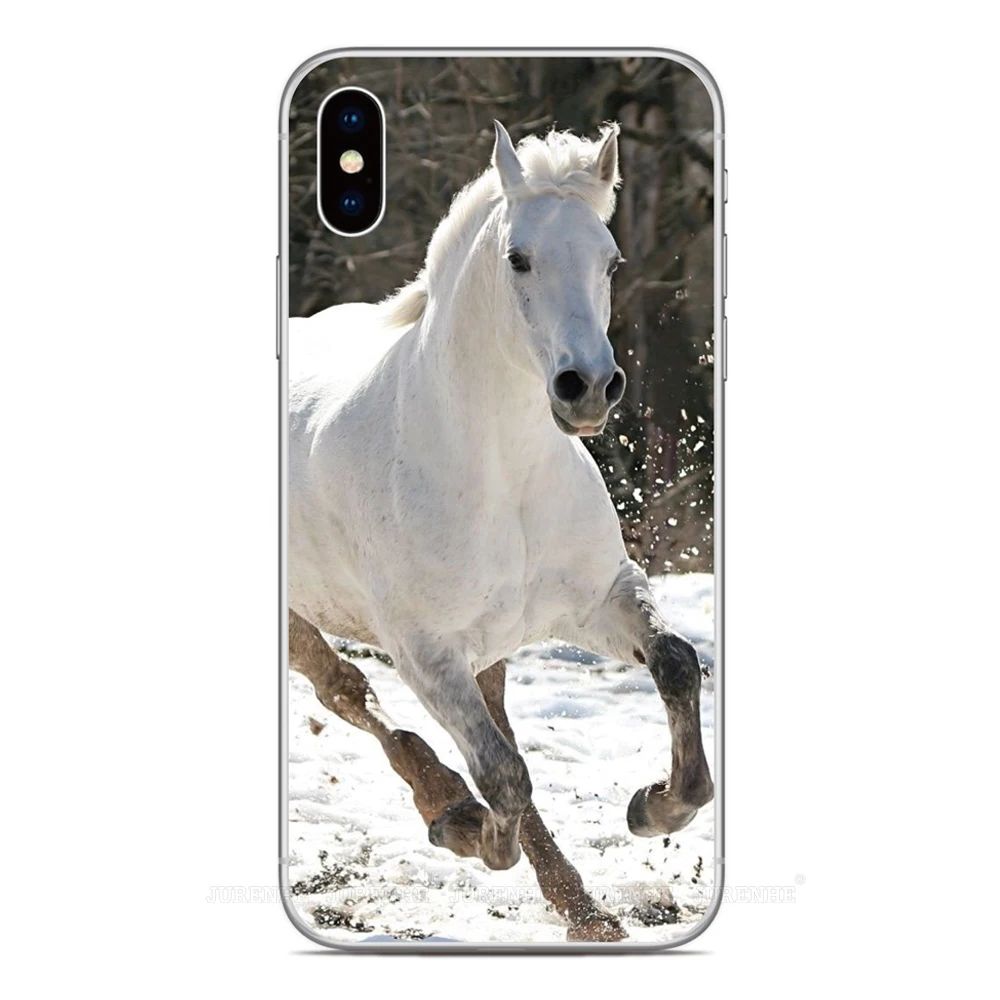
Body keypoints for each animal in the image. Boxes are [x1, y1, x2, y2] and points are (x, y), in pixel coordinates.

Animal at [287, 121, 714, 942]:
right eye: (519, 258)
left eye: (611, 260)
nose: (589, 387)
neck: (500, 474)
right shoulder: (425, 653)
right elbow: (503, 777)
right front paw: (462, 828)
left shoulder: (599, 601)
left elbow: (676, 664)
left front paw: (654, 808)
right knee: (346, 692)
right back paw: (445, 802)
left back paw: (586, 912)